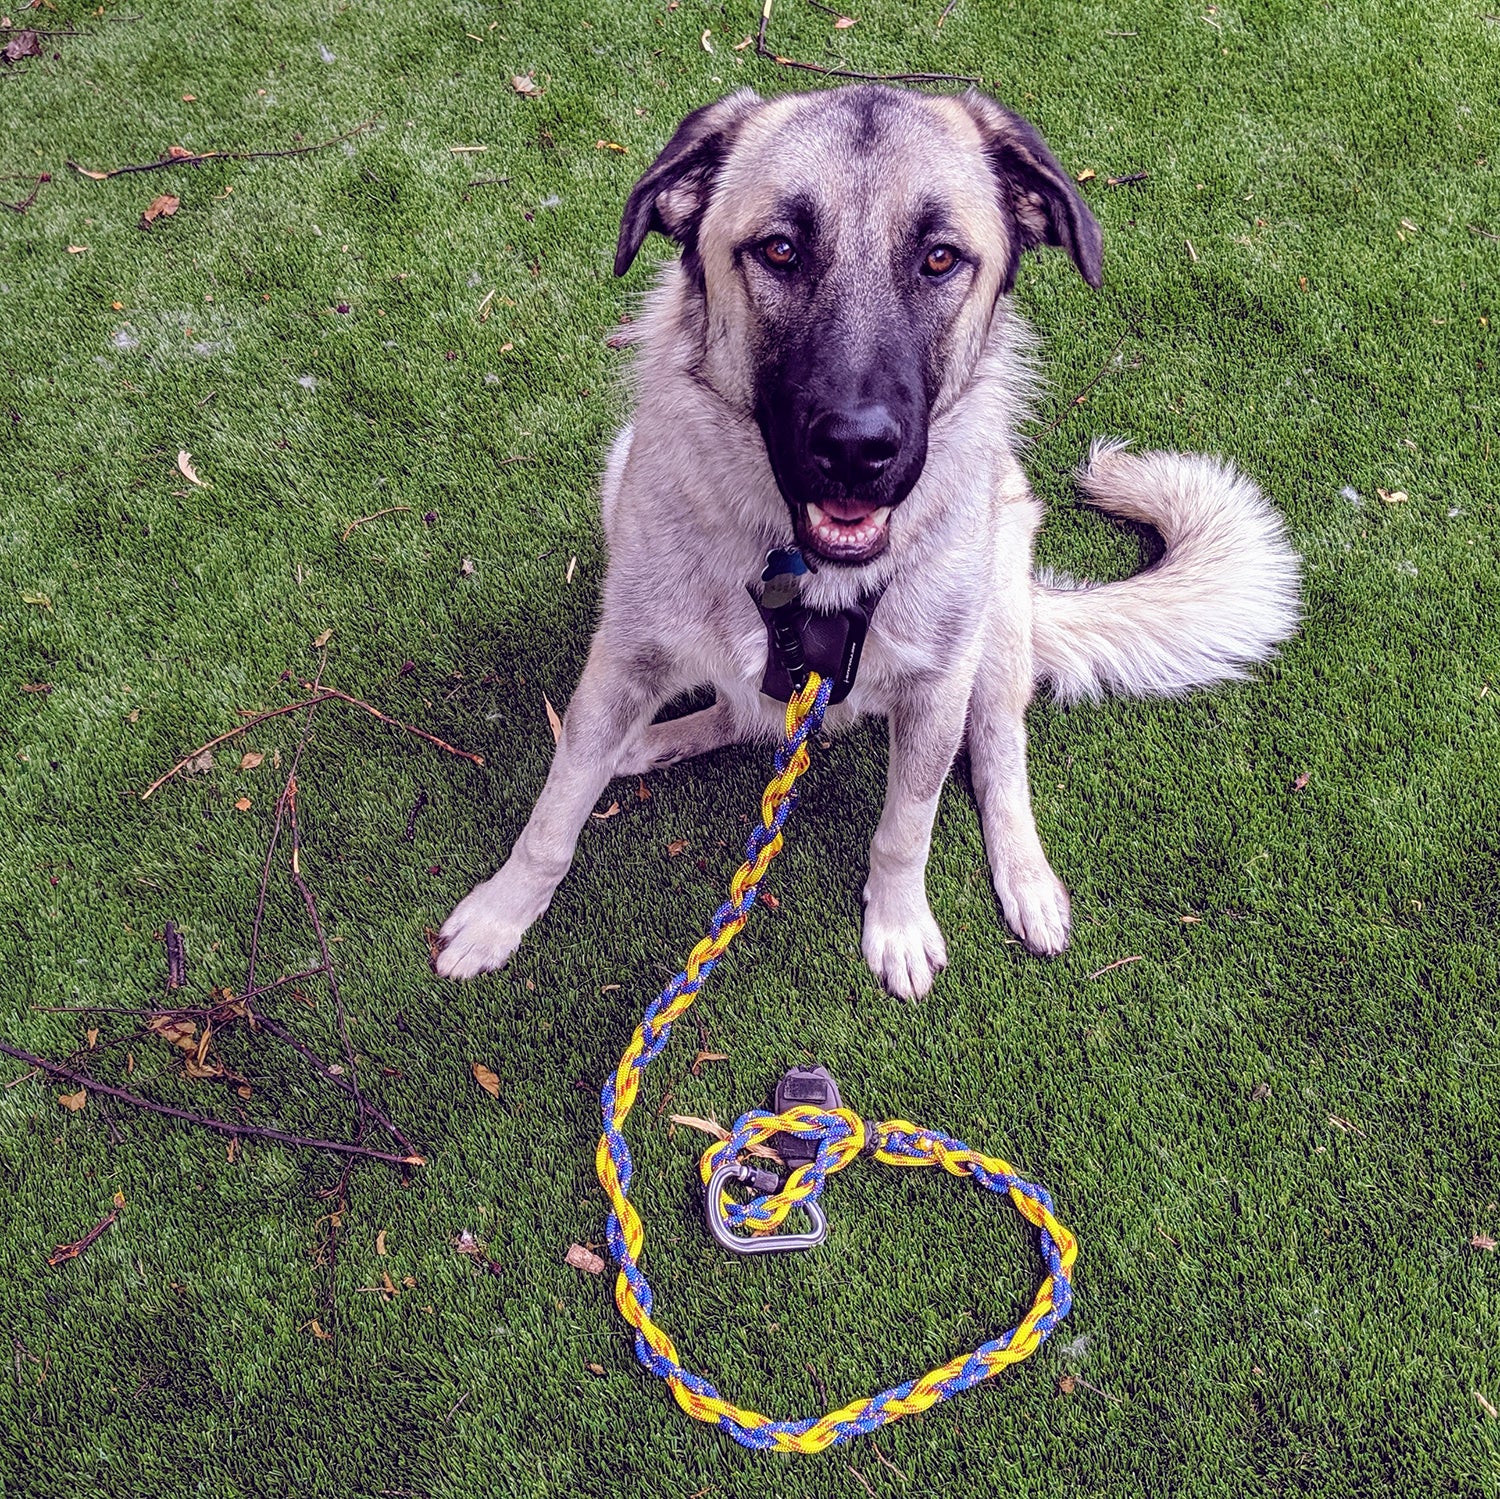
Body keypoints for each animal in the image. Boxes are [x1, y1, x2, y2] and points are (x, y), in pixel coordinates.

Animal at [429, 82, 1296, 996]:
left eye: (941, 259)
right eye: (779, 250)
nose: (856, 448)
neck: (805, 578)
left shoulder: (936, 690)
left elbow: (907, 826)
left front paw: (900, 922)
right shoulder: (624, 656)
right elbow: (555, 809)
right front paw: (500, 913)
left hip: (995, 616)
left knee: (1001, 750)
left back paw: (1025, 875)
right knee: (739, 714)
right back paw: (651, 743)